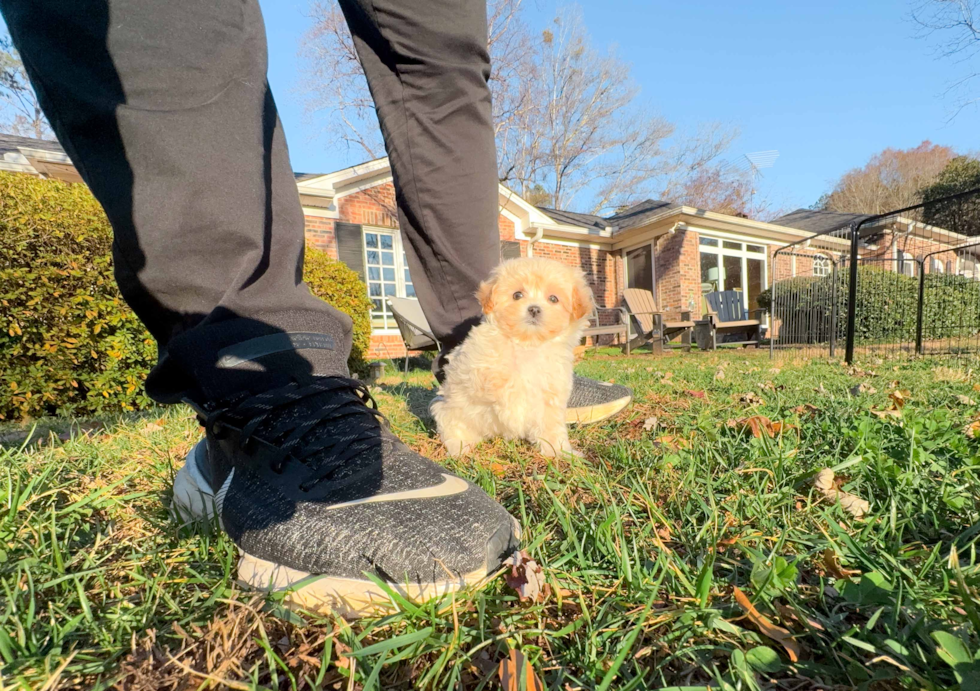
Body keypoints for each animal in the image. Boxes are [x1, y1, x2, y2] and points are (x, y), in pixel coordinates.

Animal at [434, 260, 588, 460]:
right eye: (517, 295)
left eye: (553, 299)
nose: (534, 309)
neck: (527, 343)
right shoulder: (476, 365)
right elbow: (498, 384)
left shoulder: (552, 392)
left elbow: (551, 427)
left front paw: (560, 451)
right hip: (450, 411)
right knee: (454, 428)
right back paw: (460, 447)